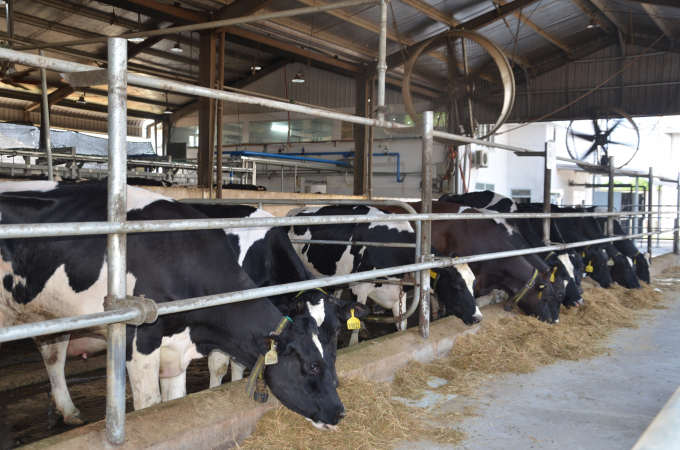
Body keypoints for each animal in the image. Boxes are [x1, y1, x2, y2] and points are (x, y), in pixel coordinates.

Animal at [1, 181, 346, 430]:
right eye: (312, 366)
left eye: (335, 337)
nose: (340, 412)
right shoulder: (140, 342)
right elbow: (160, 399)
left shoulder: (178, 347)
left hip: (49, 314)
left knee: (52, 356)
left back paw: (69, 410)